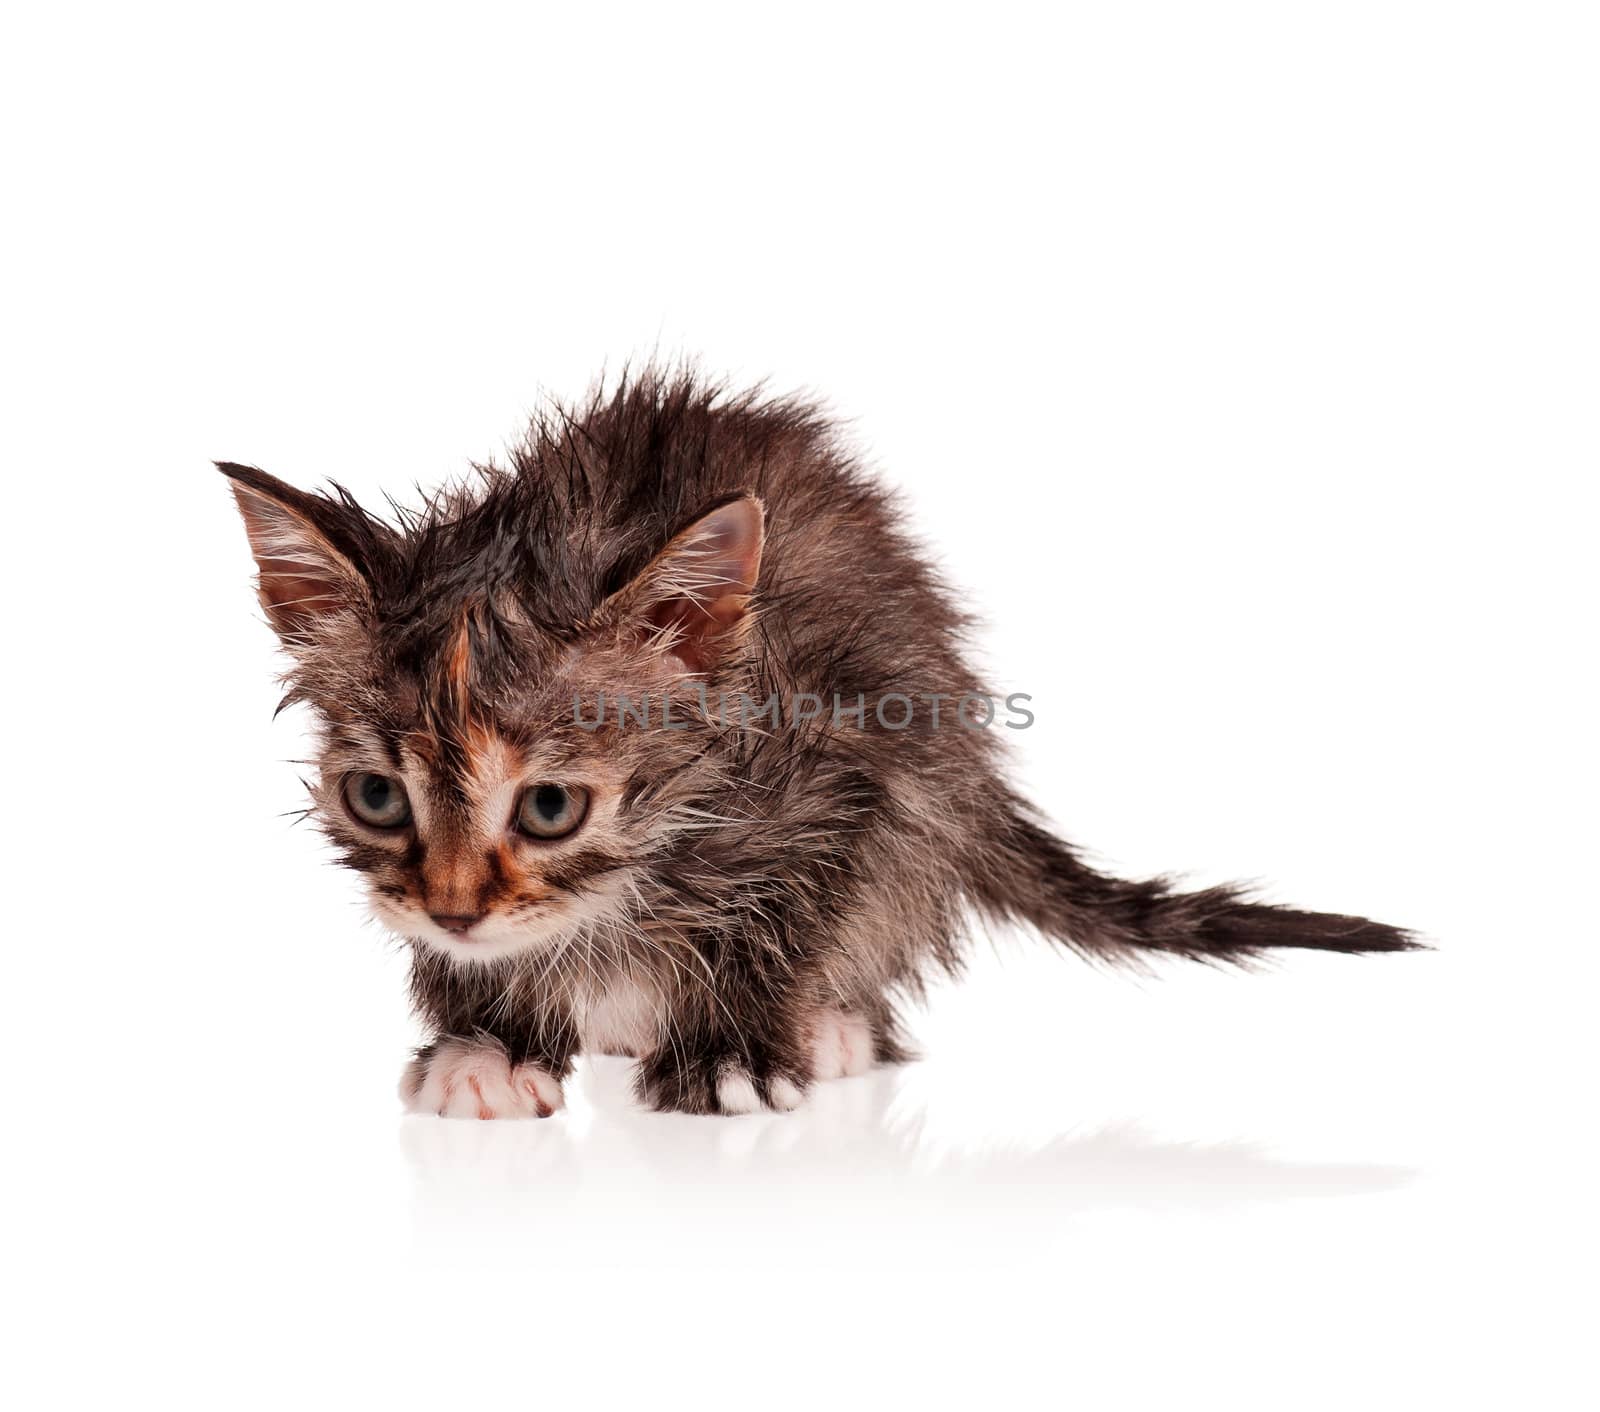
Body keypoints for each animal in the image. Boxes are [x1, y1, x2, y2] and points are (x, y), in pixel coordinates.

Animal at [216, 368, 1414, 1114]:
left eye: (550, 808)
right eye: (377, 798)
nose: (455, 912)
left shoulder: (852, 762)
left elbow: (792, 910)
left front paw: (734, 1052)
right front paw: (489, 1044)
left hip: (935, 779)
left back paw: (831, 1024)